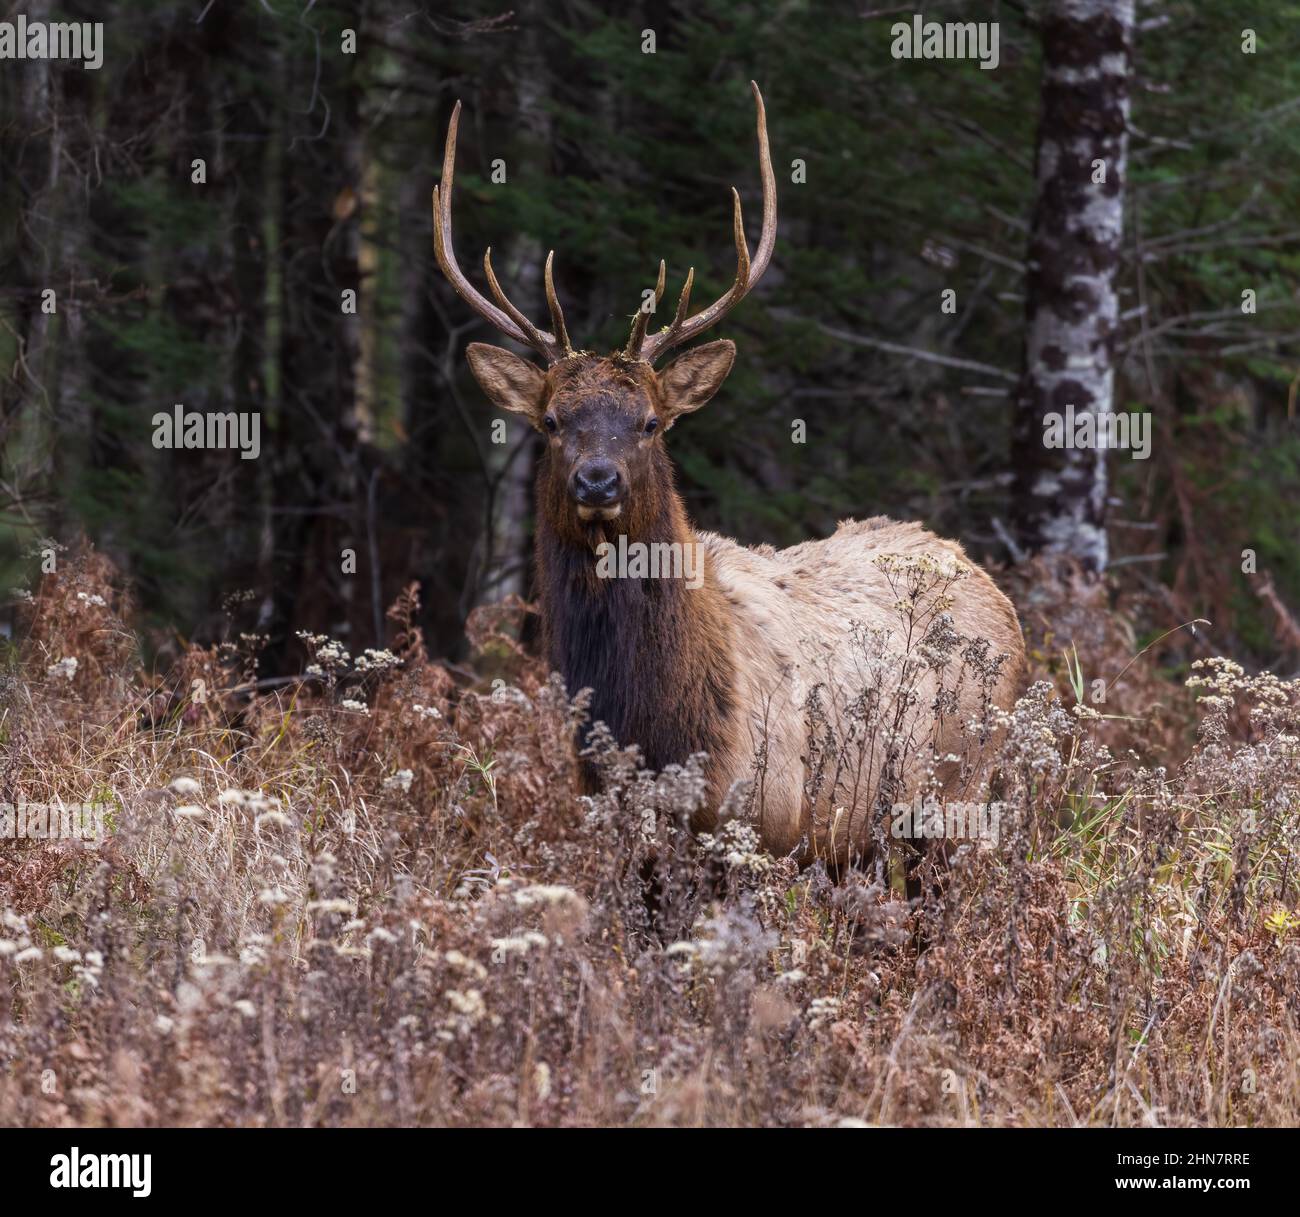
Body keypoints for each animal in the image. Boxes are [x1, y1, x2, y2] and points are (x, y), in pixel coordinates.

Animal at [436, 80, 1024, 868]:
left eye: (651, 422)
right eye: (553, 421)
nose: (598, 482)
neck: (652, 730)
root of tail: (990, 584)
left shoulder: (764, 822)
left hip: (962, 792)